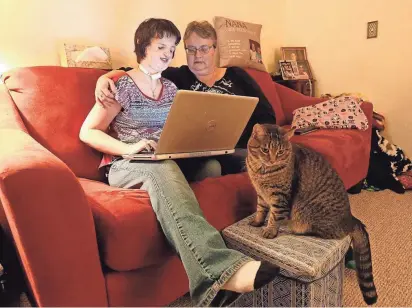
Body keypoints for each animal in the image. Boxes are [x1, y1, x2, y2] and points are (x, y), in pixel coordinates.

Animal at [246, 123, 378, 306]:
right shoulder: (261, 195)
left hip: (306, 215)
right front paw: (258, 222)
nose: (272, 160)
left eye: (280, 152)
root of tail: (352, 219)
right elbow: (260, 210)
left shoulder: (280, 197)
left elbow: (274, 216)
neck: (262, 172)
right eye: (265, 150)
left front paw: (270, 230)